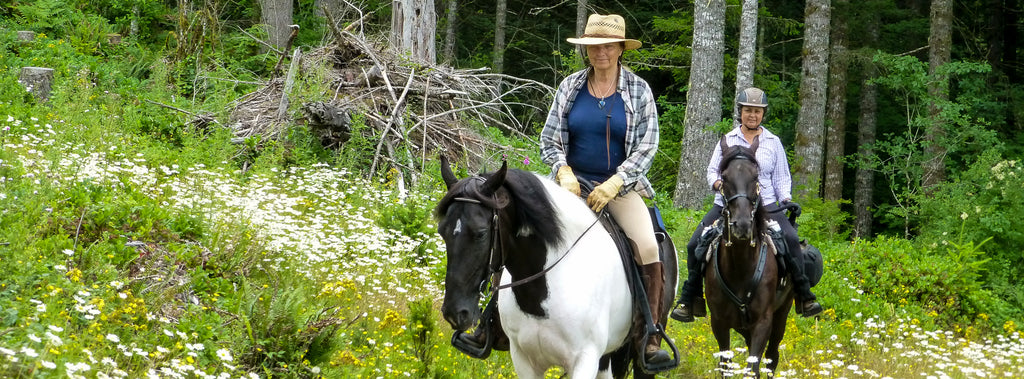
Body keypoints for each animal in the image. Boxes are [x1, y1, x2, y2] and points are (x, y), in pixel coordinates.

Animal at [708, 137, 794, 376]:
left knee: (772, 357)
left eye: (756, 176)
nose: (743, 224)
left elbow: (752, 368)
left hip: (782, 314)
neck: (741, 266)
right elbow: (725, 365)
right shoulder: (718, 322)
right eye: (724, 177)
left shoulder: (763, 322)